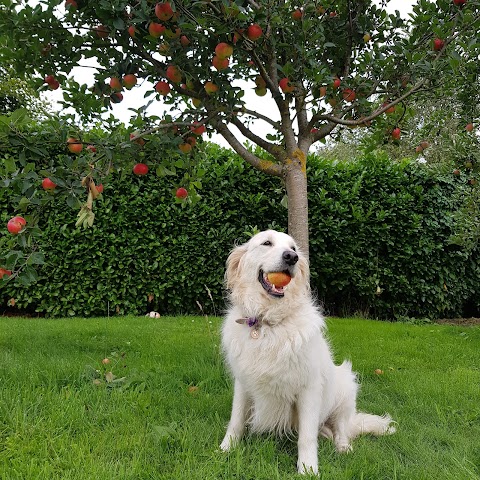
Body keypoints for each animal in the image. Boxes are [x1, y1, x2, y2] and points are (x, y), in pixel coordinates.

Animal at [219, 231, 396, 474]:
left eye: (293, 247)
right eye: (267, 243)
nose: (291, 257)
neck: (268, 324)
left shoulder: (309, 389)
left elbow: (306, 436)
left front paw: (308, 468)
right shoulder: (243, 383)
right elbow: (235, 421)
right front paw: (225, 449)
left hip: (346, 386)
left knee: (342, 430)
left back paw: (343, 447)